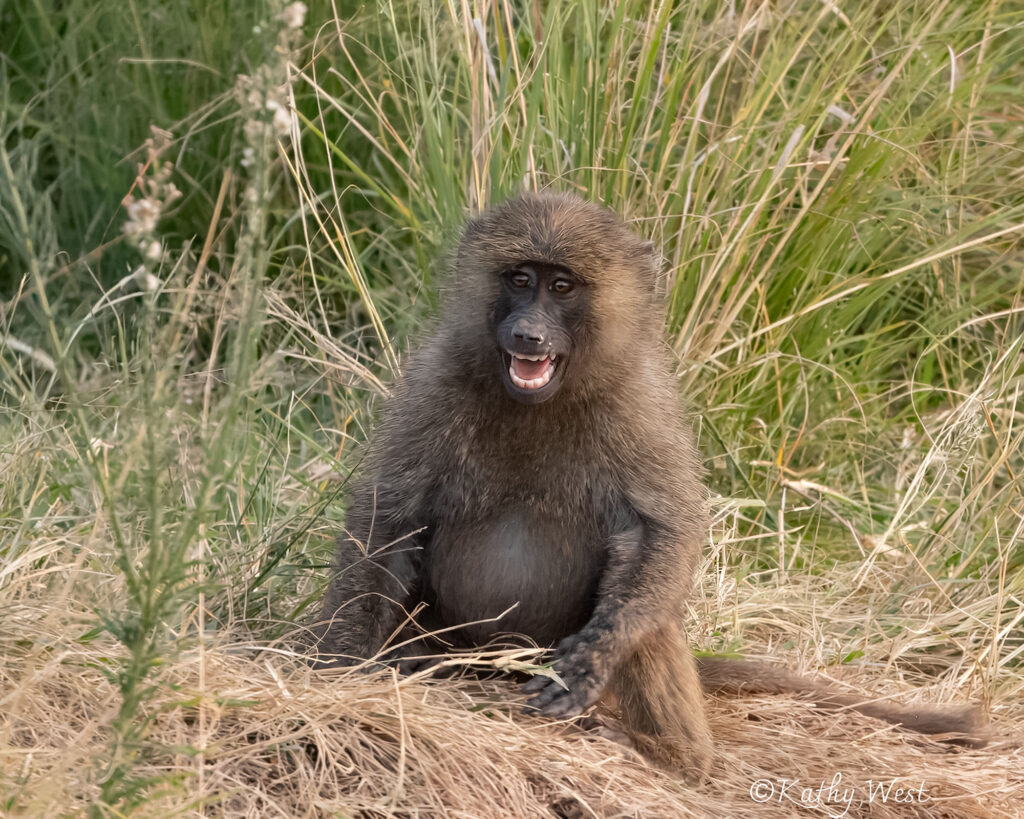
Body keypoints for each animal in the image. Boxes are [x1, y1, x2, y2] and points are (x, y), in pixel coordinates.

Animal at [312, 191, 988, 780]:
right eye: (520, 279)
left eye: (562, 286)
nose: (528, 334)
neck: (542, 403)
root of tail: (490, 675)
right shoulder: (435, 382)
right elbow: (389, 519)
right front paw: (338, 674)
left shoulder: (642, 402)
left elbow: (659, 532)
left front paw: (593, 661)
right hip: (449, 655)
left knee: (651, 614)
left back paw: (672, 758)